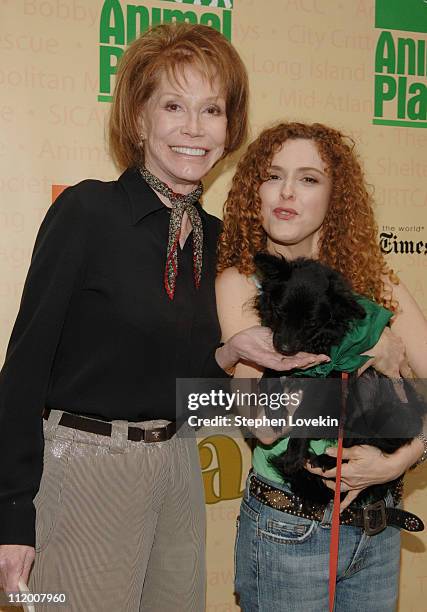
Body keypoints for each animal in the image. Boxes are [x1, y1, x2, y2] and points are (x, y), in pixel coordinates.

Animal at [254, 253, 427, 506]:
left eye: (311, 322)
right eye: (280, 311)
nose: (284, 348)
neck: (319, 340)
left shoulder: (332, 373)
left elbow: (305, 413)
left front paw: (294, 455)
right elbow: (269, 376)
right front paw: (275, 412)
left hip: (390, 412)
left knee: (372, 444)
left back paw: (326, 461)